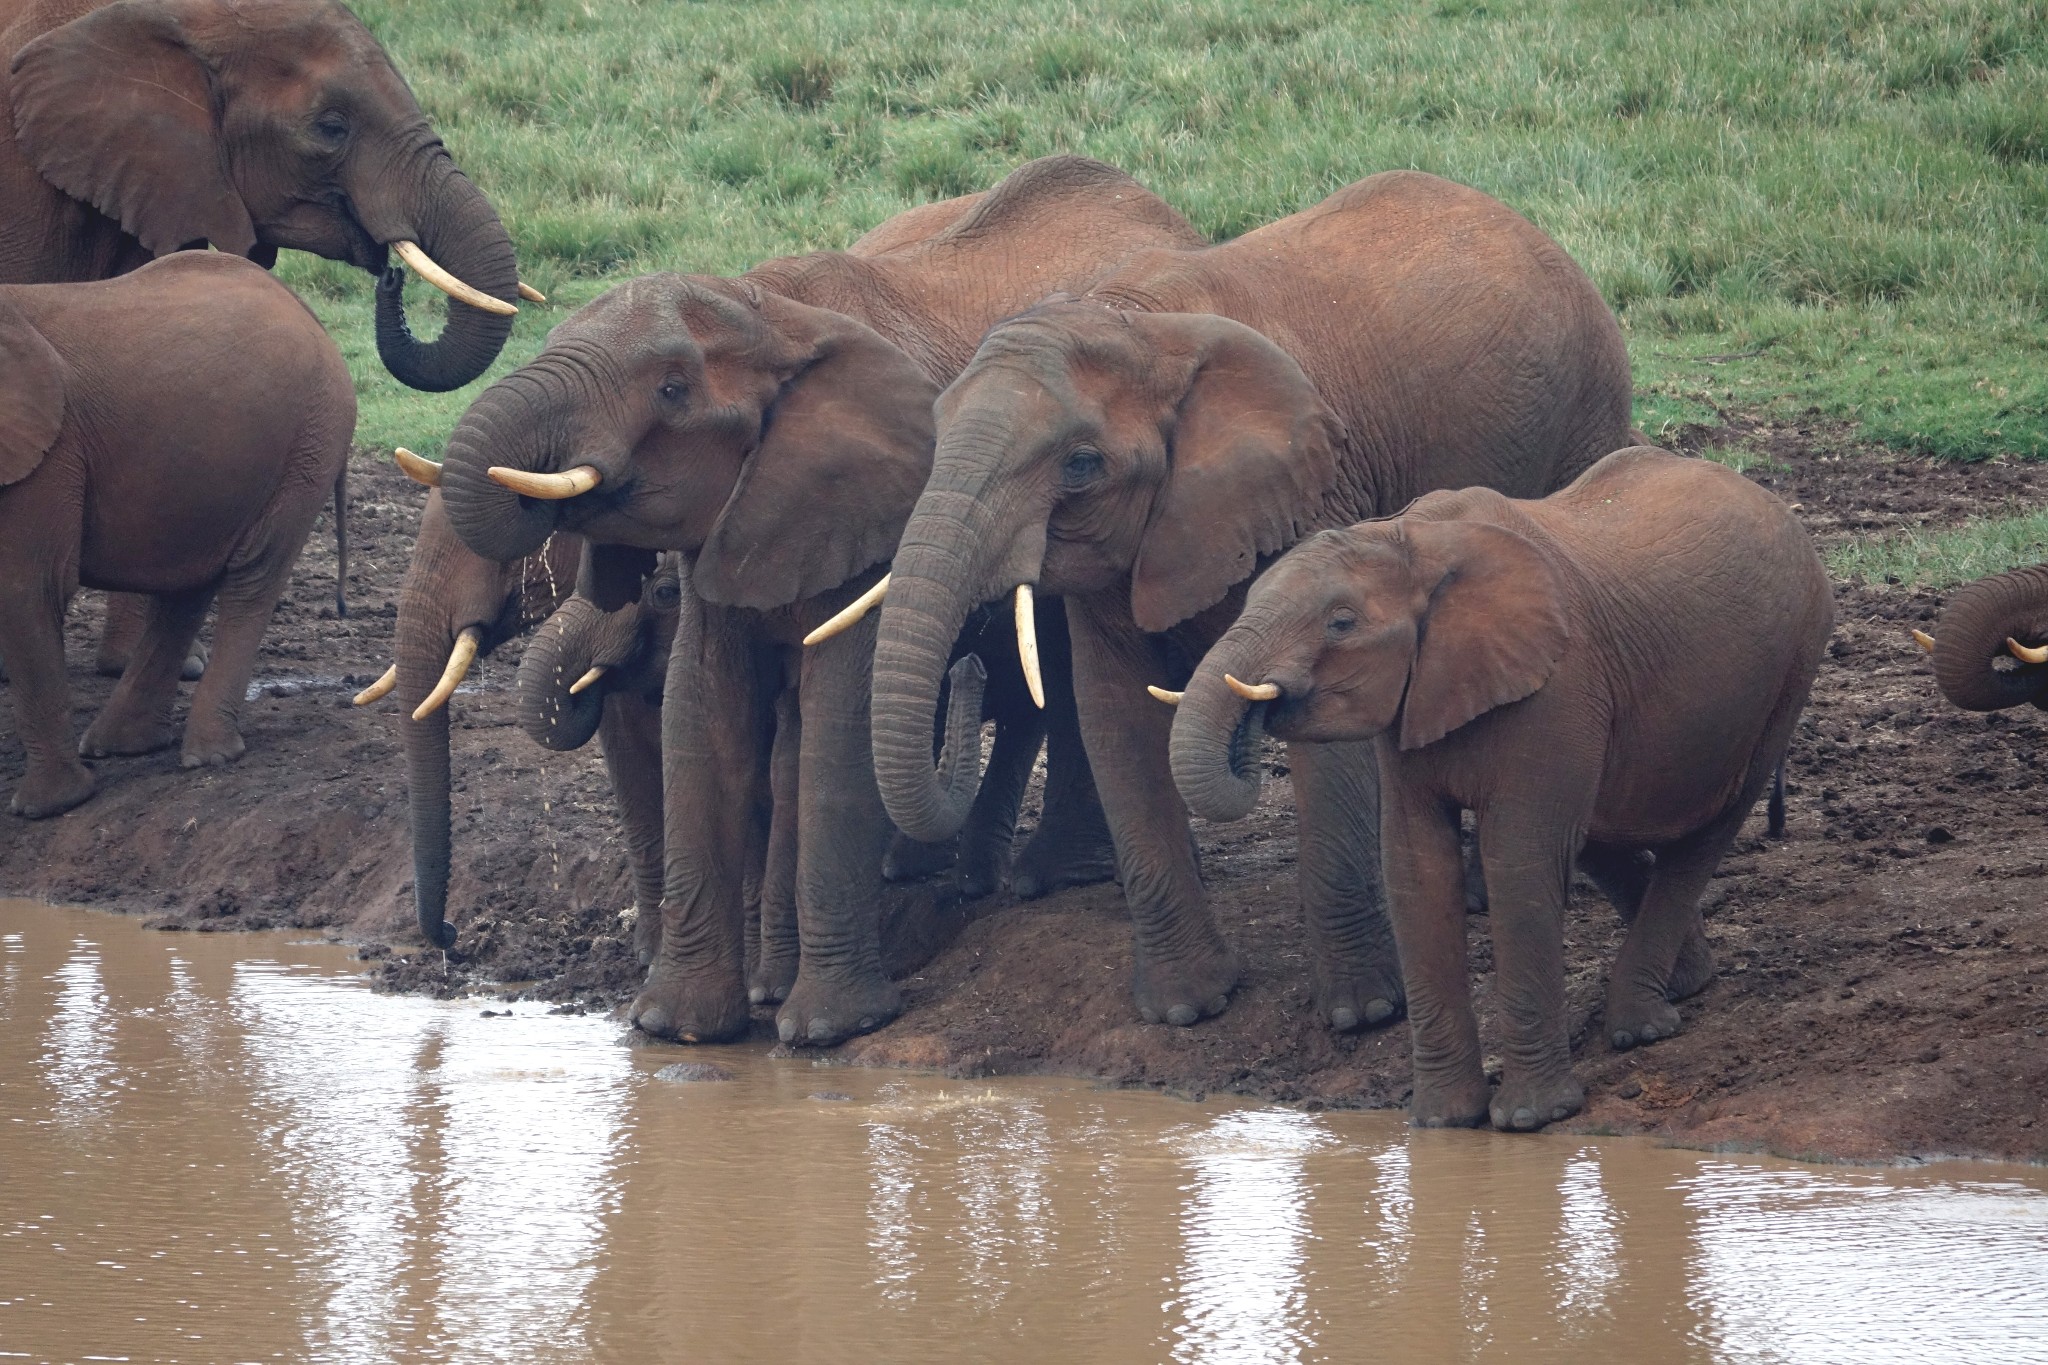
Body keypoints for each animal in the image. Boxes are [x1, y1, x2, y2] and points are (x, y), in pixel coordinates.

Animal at [0, 250, 354, 818]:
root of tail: (303, 307)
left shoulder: (43, 460)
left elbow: (26, 591)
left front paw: (46, 809)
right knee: (191, 584)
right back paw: (121, 746)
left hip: (307, 445)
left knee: (253, 574)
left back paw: (208, 757)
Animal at [432, 152, 1196, 1047]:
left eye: (672, 390)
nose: (447, 936)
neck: (767, 312)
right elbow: (701, 715)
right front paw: (676, 1028)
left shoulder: (874, 510)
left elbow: (833, 724)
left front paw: (824, 1029)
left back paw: (1046, 878)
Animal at [864, 165, 1630, 1031]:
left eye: (1081, 466)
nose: (968, 669)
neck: (1136, 325)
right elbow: (1114, 713)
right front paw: (1184, 1009)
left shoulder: (1316, 489)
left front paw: (1361, 1014)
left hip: (1586, 415)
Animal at [1179, 448, 1835, 1129]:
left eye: (1340, 623)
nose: (1258, 715)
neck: (1411, 540)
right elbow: (1415, 869)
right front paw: (1441, 1123)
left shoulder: (1558, 685)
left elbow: (1519, 860)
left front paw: (1530, 1120)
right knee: (1602, 833)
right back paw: (1682, 987)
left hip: (1792, 666)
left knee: (1705, 831)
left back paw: (1640, 1029)